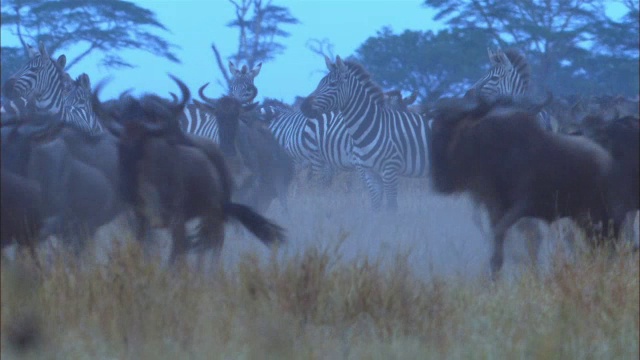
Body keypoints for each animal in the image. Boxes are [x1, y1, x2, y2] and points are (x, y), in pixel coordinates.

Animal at [300, 54, 430, 210]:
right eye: (320, 83)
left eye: (332, 84)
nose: (303, 106)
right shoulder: (365, 167)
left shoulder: (383, 169)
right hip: (317, 158)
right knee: (317, 183)